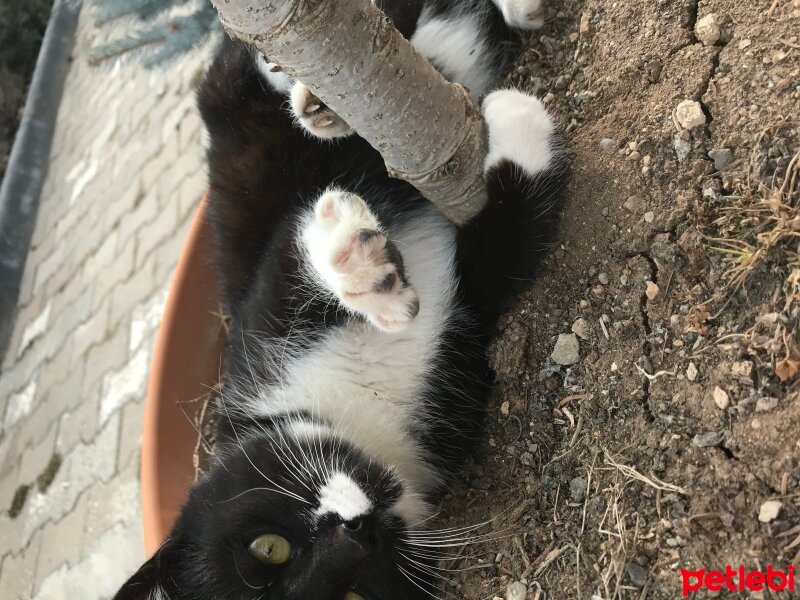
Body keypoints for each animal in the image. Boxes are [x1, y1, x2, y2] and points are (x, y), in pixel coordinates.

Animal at [112, 1, 564, 600]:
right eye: (351, 591)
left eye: (267, 546)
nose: (356, 531)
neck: (354, 412)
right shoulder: (457, 389)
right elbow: (494, 265)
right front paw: (521, 130)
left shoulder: (255, 328)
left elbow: (288, 257)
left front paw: (355, 268)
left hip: (228, 103)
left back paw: (316, 98)